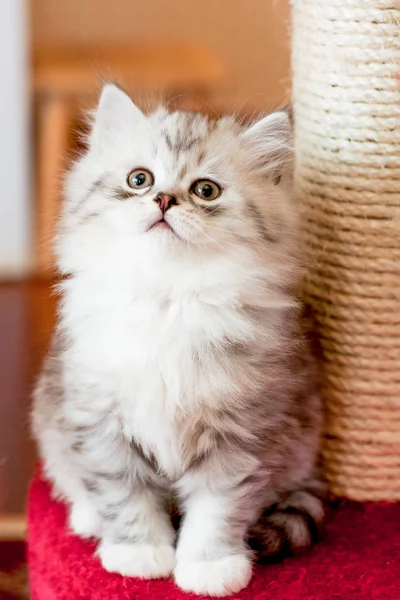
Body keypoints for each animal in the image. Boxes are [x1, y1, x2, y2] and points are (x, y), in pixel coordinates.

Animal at [32, 84, 324, 596]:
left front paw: (211, 568)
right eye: (139, 179)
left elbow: (217, 509)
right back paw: (88, 518)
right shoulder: (100, 419)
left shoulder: (240, 431)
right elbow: (123, 493)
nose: (164, 200)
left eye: (205, 190)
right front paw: (138, 554)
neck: (168, 298)